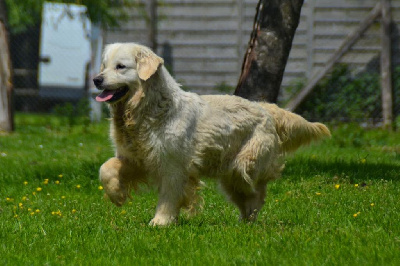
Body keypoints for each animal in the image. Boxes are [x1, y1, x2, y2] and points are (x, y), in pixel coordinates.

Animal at [94, 42, 332, 225]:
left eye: (121, 67)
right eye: (104, 66)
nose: (96, 79)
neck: (146, 111)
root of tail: (266, 109)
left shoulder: (173, 166)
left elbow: (168, 197)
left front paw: (161, 222)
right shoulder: (135, 158)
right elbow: (105, 169)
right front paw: (117, 195)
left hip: (242, 166)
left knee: (258, 192)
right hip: (230, 176)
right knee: (248, 198)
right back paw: (243, 222)